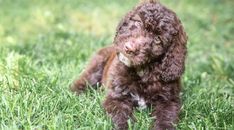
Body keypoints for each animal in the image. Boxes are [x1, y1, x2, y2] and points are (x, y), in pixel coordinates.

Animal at [70, 1, 187, 130]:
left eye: (158, 39)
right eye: (138, 22)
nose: (129, 48)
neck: (143, 72)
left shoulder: (169, 101)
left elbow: (165, 118)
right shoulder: (117, 97)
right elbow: (121, 116)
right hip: (96, 65)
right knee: (84, 80)